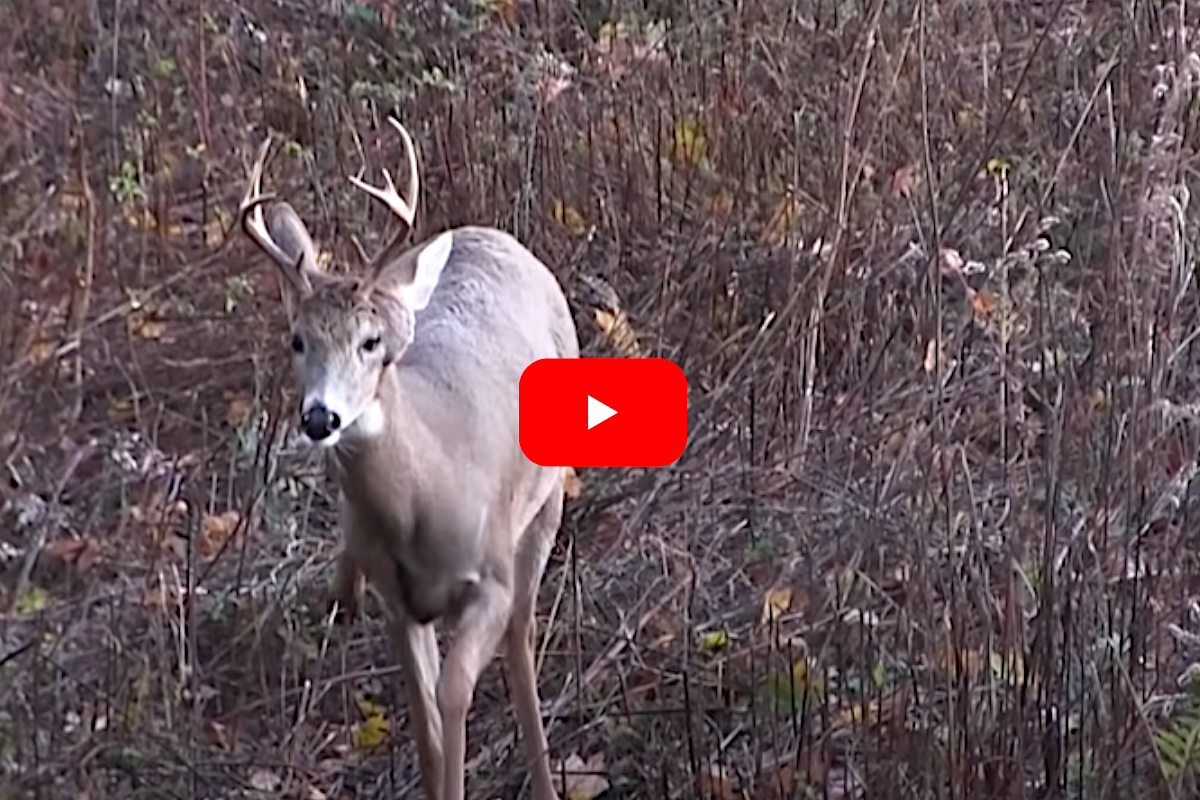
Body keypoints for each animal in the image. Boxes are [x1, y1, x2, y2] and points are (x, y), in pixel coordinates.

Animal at [237, 117, 576, 800]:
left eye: (372, 342)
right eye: (296, 340)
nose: (320, 418)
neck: (425, 498)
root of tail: (493, 235)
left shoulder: (488, 575)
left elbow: (453, 695)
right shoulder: (398, 601)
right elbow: (425, 721)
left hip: (545, 503)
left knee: (522, 634)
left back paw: (545, 780)